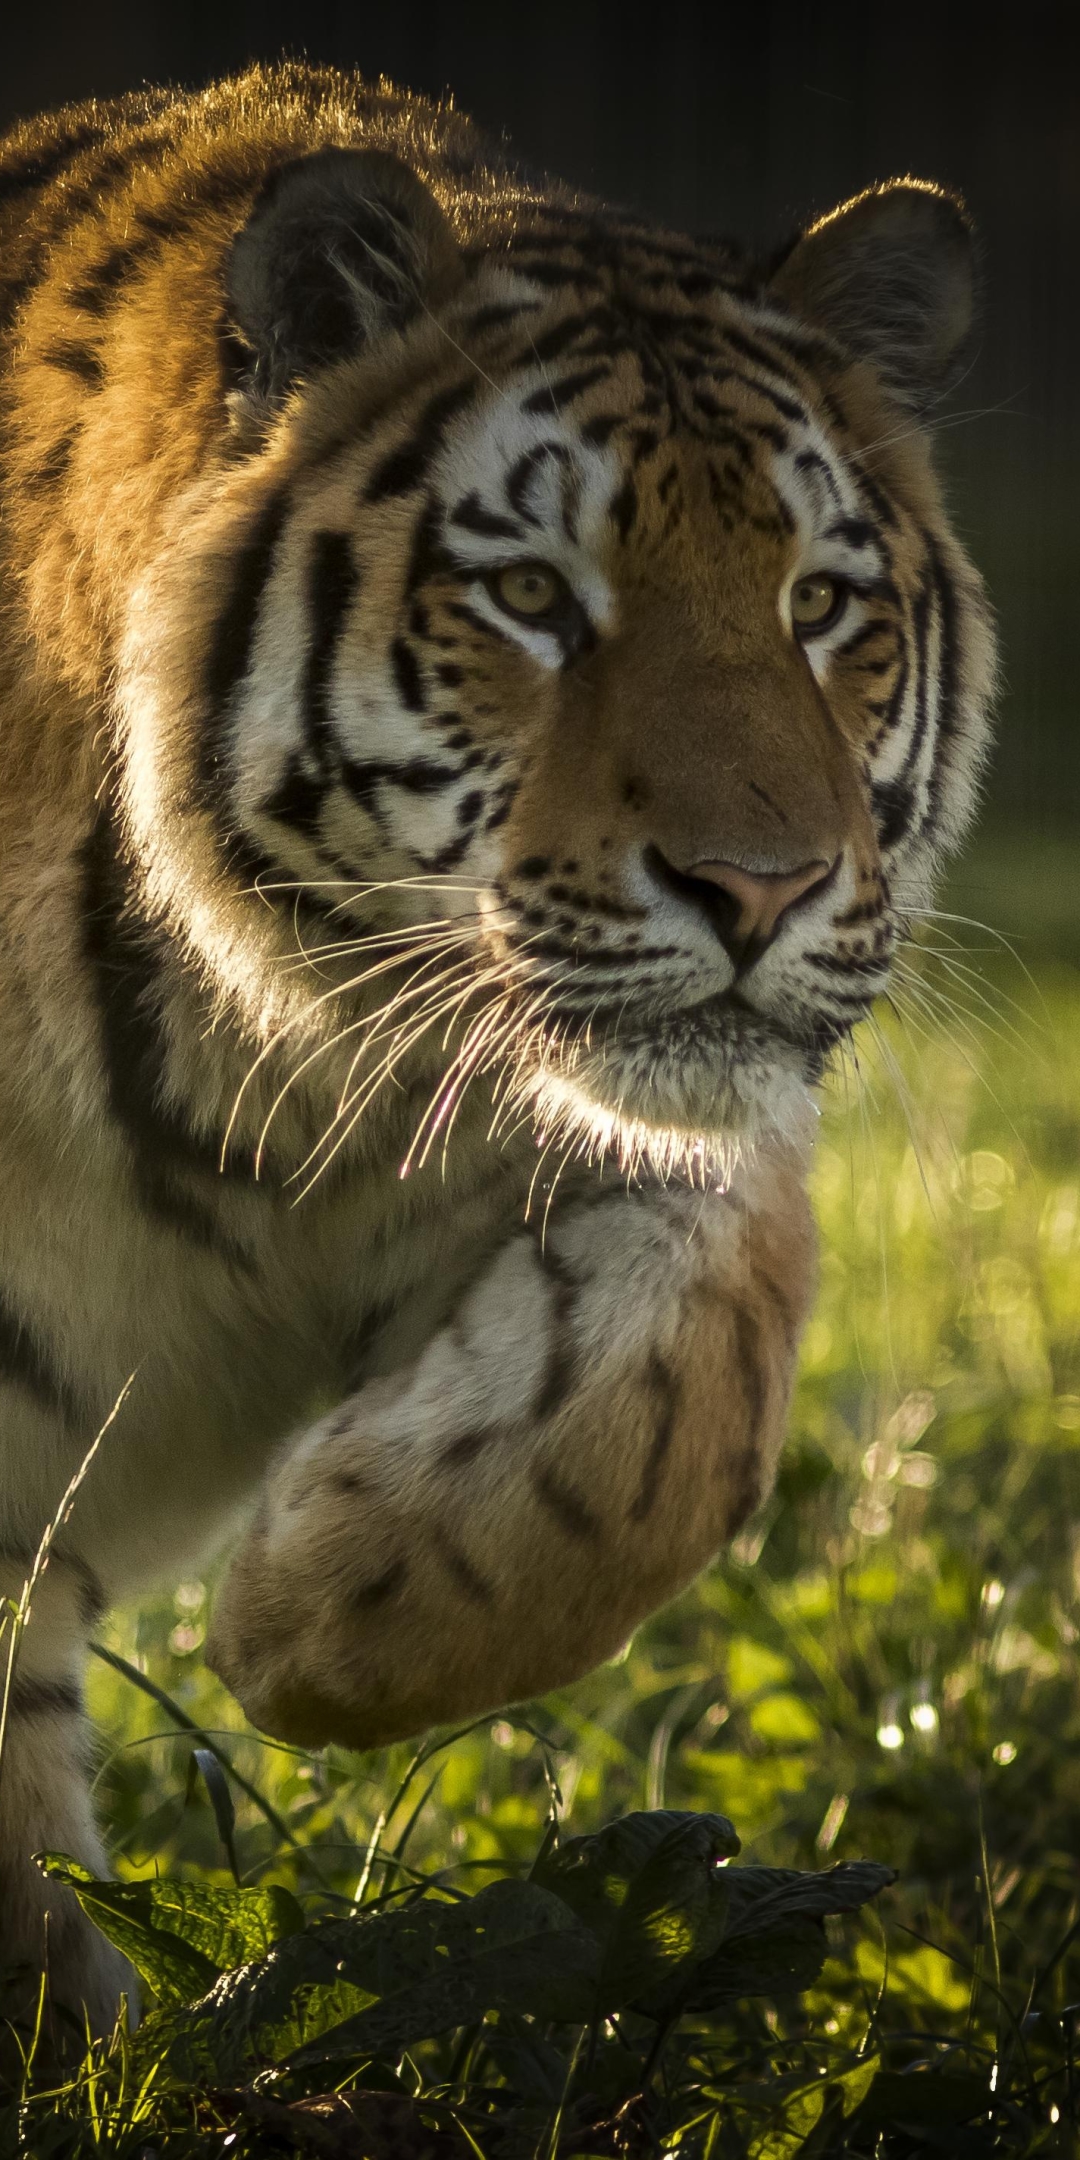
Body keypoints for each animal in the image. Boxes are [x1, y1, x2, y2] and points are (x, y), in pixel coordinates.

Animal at [0, 50, 993, 2039]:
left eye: (819, 604)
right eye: (531, 595)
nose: (762, 888)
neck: (273, 1072)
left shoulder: (644, 1132)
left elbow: (670, 1420)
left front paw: (306, 1623)